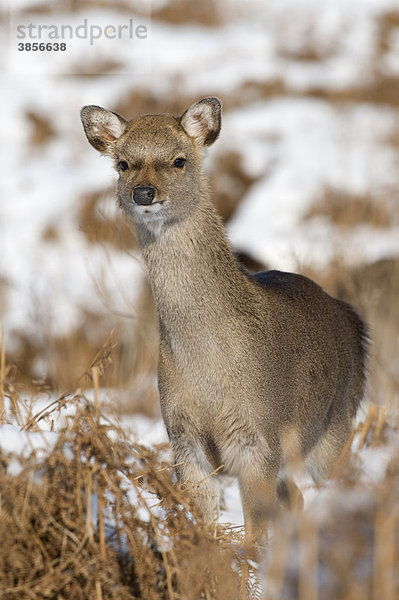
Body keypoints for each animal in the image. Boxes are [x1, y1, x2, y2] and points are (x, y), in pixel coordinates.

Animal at [80, 98, 368, 552]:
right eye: (123, 164)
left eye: (179, 160)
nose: (143, 192)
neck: (210, 371)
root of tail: (353, 321)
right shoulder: (183, 438)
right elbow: (203, 525)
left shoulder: (260, 436)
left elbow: (256, 533)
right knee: (297, 499)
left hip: (336, 431)